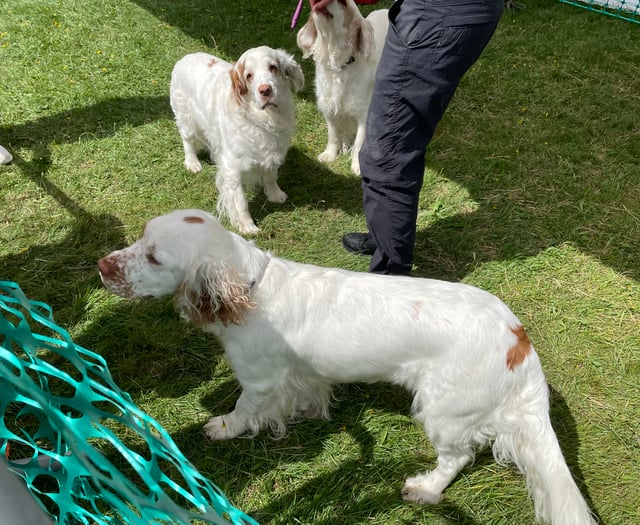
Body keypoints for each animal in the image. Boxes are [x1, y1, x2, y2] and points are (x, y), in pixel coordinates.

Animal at [97, 209, 596, 524]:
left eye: (155, 256)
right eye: (140, 238)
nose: (102, 265)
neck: (250, 288)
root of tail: (519, 341)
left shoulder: (259, 381)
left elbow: (242, 411)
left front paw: (221, 428)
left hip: (442, 411)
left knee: (458, 457)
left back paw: (424, 487)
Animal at [170, 47, 304, 233]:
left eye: (273, 67)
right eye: (248, 76)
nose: (265, 90)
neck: (264, 118)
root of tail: (185, 58)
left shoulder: (272, 152)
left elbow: (271, 176)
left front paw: (275, 195)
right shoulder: (234, 171)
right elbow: (241, 201)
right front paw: (247, 226)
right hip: (186, 118)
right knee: (187, 141)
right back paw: (192, 163)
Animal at [296, 0, 390, 174]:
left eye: (343, 3)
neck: (339, 68)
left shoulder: (363, 114)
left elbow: (359, 142)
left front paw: (357, 165)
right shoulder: (329, 108)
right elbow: (333, 134)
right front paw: (330, 154)